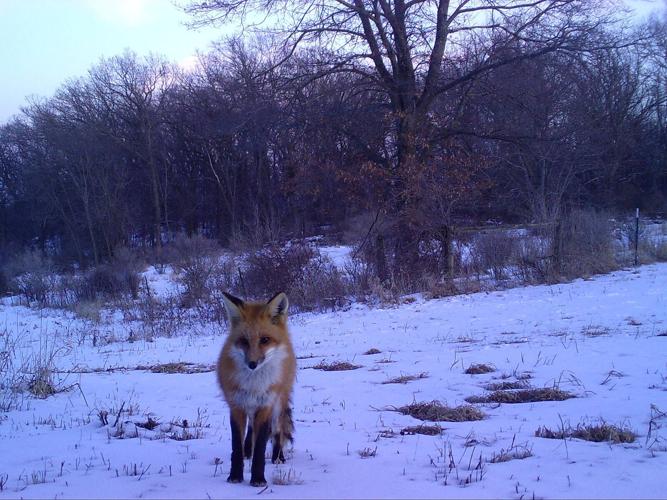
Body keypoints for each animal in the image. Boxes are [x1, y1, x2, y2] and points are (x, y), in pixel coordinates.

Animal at [218, 291, 296, 487]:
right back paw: (248, 451)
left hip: (278, 405)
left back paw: (278, 457)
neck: (254, 385)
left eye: (265, 340)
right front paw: (235, 475)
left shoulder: (266, 406)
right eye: (243, 341)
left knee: (277, 431)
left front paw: (258, 478)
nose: (252, 364)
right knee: (251, 429)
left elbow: (261, 446)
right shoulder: (236, 406)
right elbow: (236, 446)